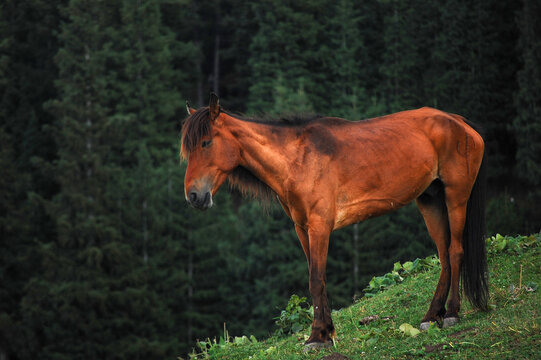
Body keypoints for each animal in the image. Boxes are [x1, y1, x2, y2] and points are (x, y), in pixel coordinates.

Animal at [179, 92, 488, 348]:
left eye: (206, 143)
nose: (193, 196)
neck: (297, 160)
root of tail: (460, 123)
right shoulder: (302, 228)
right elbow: (318, 279)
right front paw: (327, 332)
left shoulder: (320, 227)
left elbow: (316, 279)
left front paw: (316, 337)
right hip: (430, 201)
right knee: (444, 256)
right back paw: (431, 316)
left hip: (456, 197)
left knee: (455, 251)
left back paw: (452, 313)